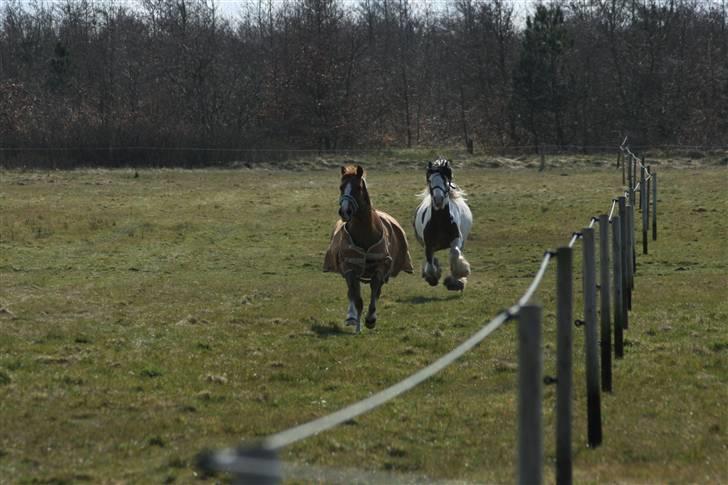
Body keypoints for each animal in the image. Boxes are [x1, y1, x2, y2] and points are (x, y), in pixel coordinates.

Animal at [326, 164, 416, 330]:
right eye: (341, 187)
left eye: (358, 187)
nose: (344, 211)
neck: (366, 232)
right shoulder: (350, 267)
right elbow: (356, 296)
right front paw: (356, 322)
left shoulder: (381, 266)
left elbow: (375, 289)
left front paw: (371, 318)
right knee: (351, 291)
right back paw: (351, 316)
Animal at [412, 157, 474, 290]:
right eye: (429, 180)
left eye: (445, 180)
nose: (438, 199)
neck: (440, 221)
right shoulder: (428, 244)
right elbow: (429, 260)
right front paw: (432, 277)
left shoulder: (456, 239)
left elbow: (455, 254)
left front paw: (457, 279)